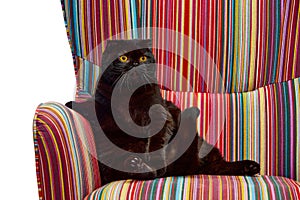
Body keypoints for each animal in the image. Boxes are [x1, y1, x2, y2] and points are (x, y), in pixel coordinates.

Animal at [66, 39, 260, 185]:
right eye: (123, 58)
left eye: (143, 57)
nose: (135, 64)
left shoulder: (160, 115)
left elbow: (156, 140)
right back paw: (136, 164)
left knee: (217, 165)